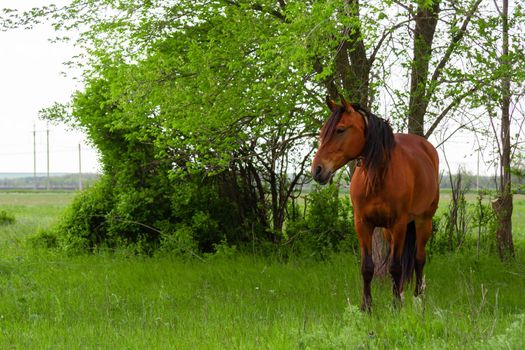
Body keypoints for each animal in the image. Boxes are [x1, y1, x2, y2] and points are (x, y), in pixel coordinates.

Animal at [312, 96, 438, 312]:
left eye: (340, 129)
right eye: (322, 131)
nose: (317, 170)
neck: (377, 177)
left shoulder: (398, 224)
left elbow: (395, 266)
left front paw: (396, 306)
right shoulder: (363, 224)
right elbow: (367, 268)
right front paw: (366, 307)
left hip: (423, 222)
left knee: (419, 259)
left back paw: (417, 299)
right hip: (389, 232)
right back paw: (402, 294)